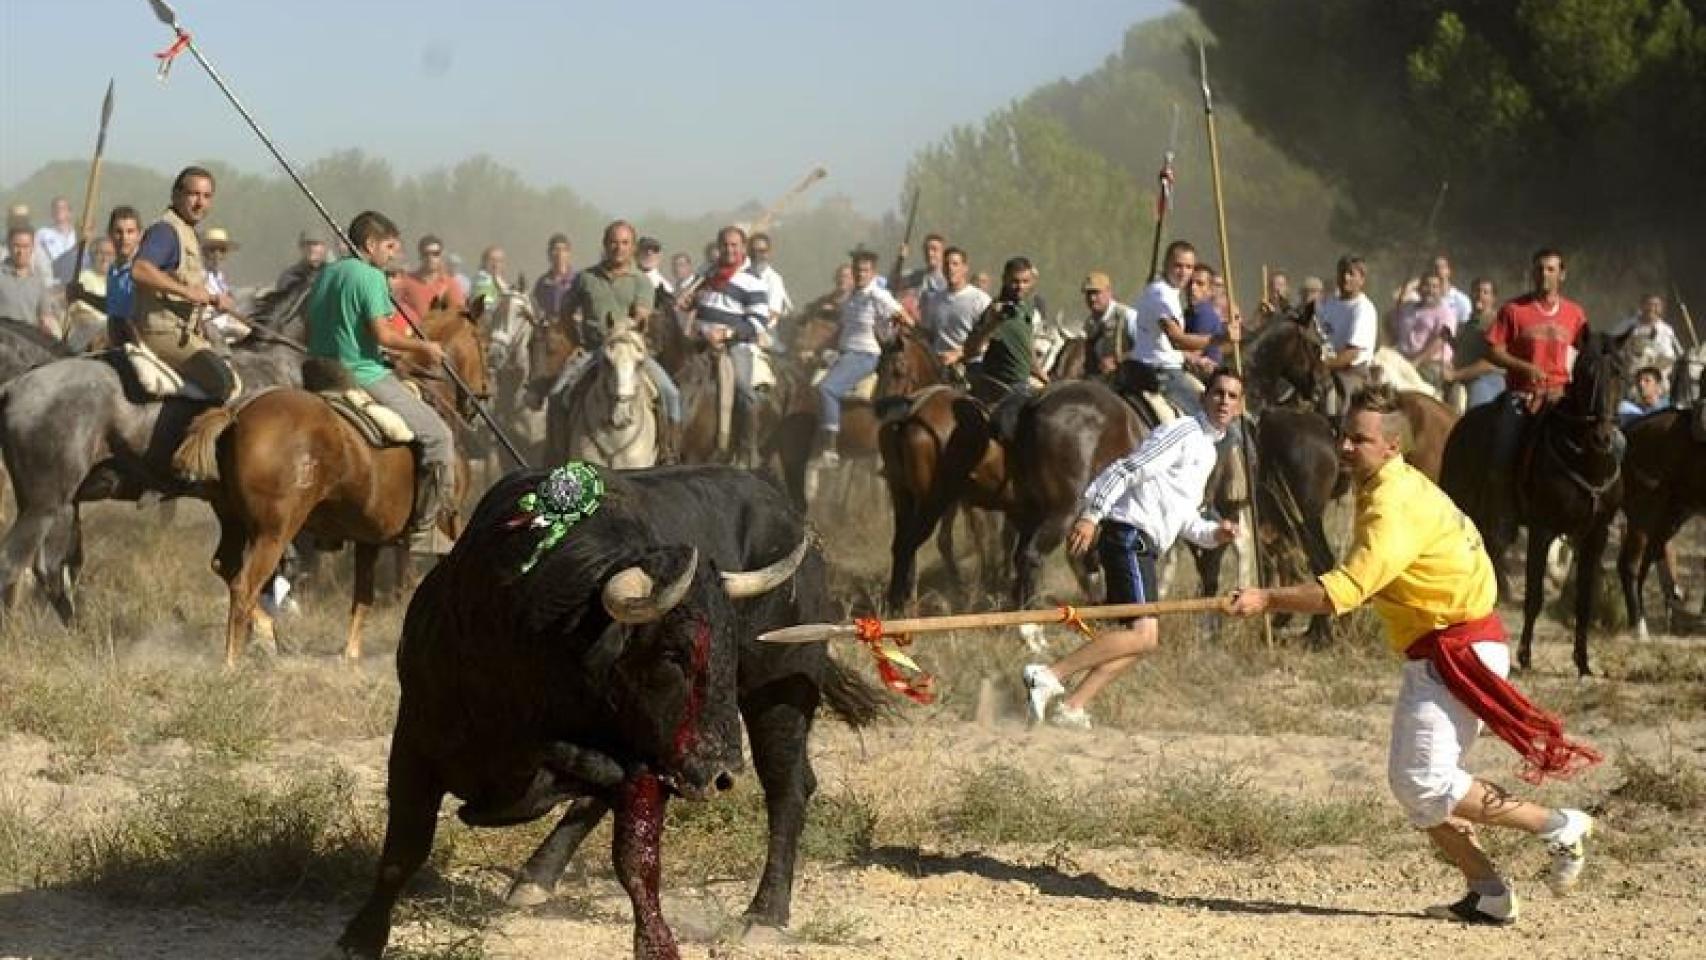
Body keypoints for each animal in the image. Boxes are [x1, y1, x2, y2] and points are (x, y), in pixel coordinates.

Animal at [173, 308, 491, 668]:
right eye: (483, 344)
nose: (483, 395)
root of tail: (236, 414)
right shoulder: (447, 521)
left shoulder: (370, 537)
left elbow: (363, 596)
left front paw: (350, 655)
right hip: (274, 532)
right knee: (245, 585)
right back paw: (232, 662)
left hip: (235, 522)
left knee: (225, 567)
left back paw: (266, 635)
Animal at [339, 467, 887, 960]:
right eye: (674, 654)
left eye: (732, 648)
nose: (721, 772)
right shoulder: (414, 739)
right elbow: (404, 850)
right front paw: (362, 935)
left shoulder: (646, 763)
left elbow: (635, 857)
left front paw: (656, 942)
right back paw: (536, 876)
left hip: (780, 700)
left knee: (788, 787)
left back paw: (765, 914)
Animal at [1446, 330, 1630, 675]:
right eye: (1585, 371)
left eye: (1619, 372)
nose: (1602, 437)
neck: (1586, 460)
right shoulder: (1542, 529)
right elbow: (1534, 596)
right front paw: (1524, 656)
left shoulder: (1595, 536)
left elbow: (1584, 601)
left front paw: (1583, 662)